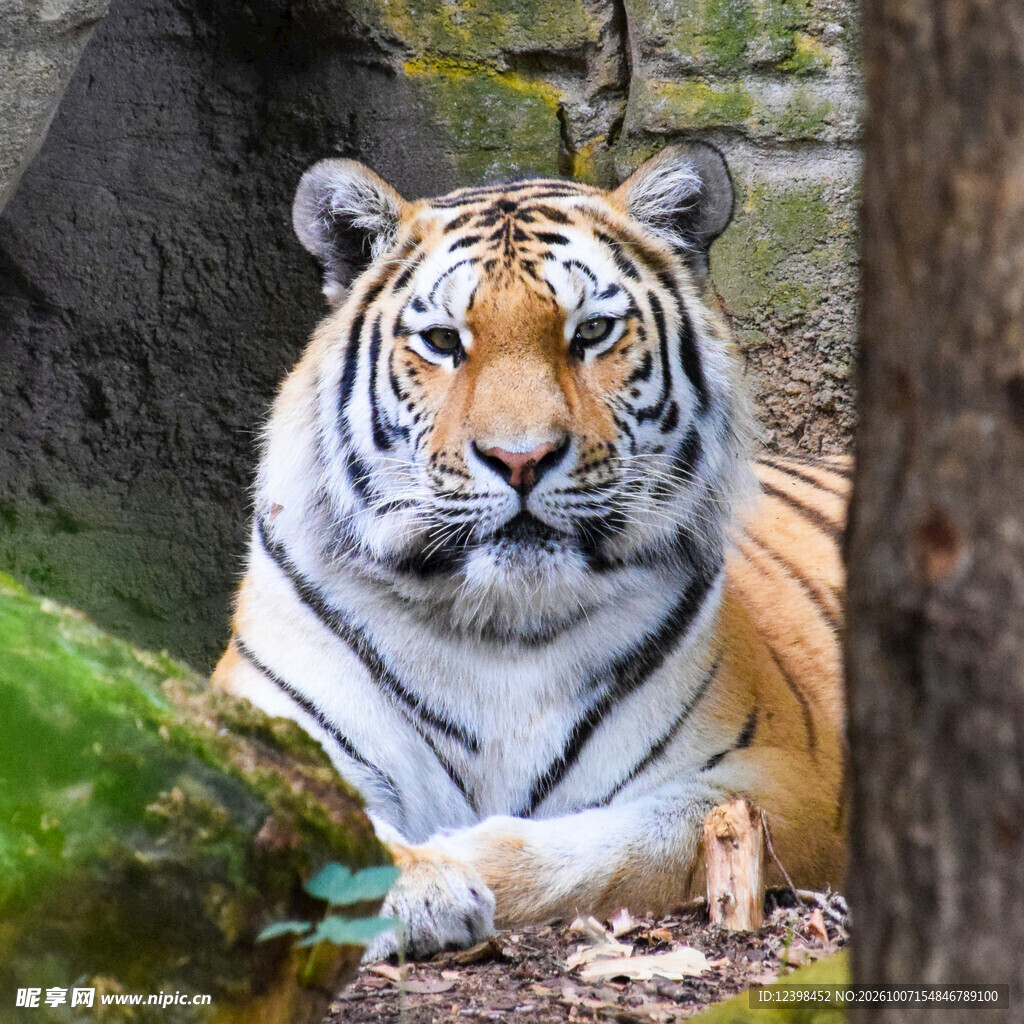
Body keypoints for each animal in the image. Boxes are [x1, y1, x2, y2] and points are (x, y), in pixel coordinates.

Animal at [211, 142, 849, 960]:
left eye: (593, 331)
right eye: (443, 341)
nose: (521, 459)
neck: (497, 627)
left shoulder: (781, 778)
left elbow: (621, 846)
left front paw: (448, 865)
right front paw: (418, 886)